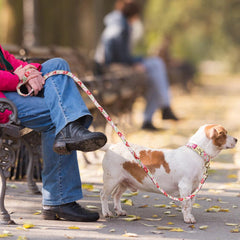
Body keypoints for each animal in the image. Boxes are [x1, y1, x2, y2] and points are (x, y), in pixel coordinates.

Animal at [100, 124, 237, 223]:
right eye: (224, 133)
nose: (236, 139)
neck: (196, 152)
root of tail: (111, 147)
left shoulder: (193, 189)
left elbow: (190, 205)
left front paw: (189, 215)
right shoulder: (185, 186)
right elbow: (186, 205)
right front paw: (188, 219)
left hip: (124, 182)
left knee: (116, 195)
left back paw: (119, 211)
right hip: (111, 180)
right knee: (103, 195)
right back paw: (106, 213)